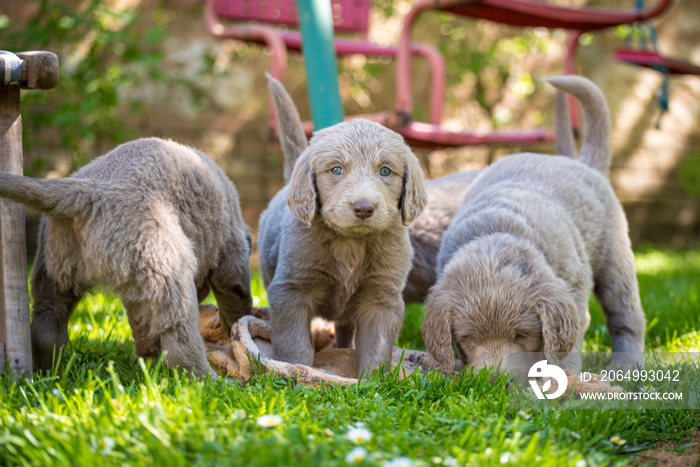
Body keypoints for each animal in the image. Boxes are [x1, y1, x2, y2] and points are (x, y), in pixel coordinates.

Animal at [0, 137, 254, 378]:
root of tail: (90, 193)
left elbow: (143, 327)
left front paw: (150, 361)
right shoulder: (231, 253)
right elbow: (237, 300)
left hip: (55, 267)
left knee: (47, 325)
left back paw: (47, 373)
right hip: (169, 265)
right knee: (180, 340)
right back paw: (210, 380)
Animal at [260, 76, 426, 376]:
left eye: (385, 171)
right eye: (336, 169)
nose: (364, 207)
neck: (351, 242)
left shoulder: (382, 298)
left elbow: (376, 346)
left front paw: (373, 379)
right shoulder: (290, 289)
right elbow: (294, 340)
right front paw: (296, 370)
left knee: (345, 329)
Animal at [422, 75, 644, 378]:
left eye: (521, 335)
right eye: (467, 338)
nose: (496, 381)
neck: (496, 234)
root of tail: (582, 164)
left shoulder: (572, 284)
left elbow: (568, 337)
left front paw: (561, 373)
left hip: (613, 256)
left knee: (625, 314)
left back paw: (627, 364)